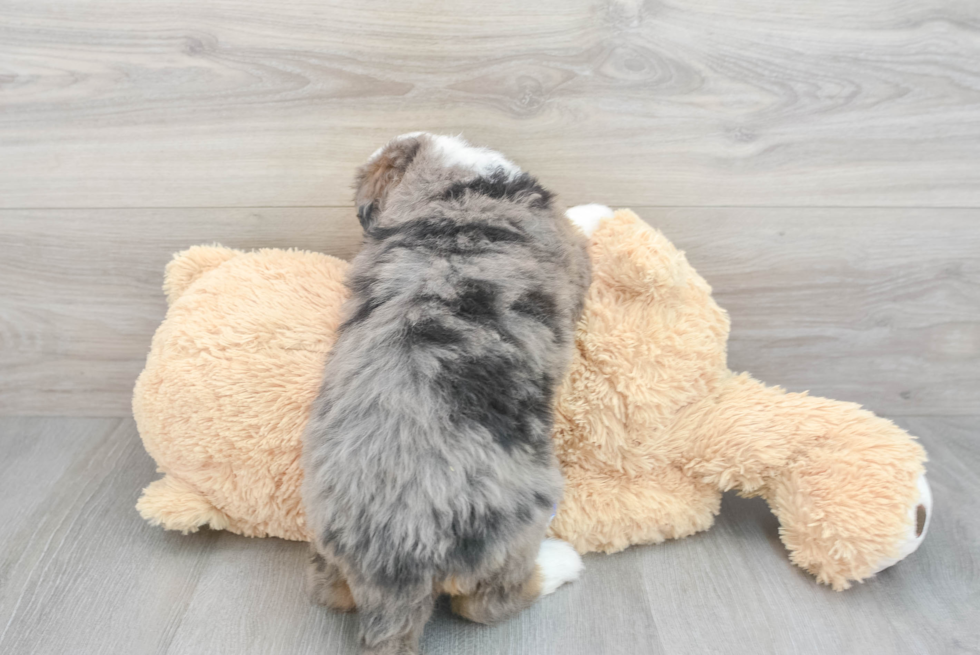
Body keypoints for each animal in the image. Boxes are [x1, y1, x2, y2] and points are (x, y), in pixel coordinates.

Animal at [302, 133, 588, 655]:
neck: (451, 186)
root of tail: (394, 568)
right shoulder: (574, 253)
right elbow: (584, 222)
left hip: (326, 546)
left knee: (328, 591)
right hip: (515, 527)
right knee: (487, 603)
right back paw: (561, 561)